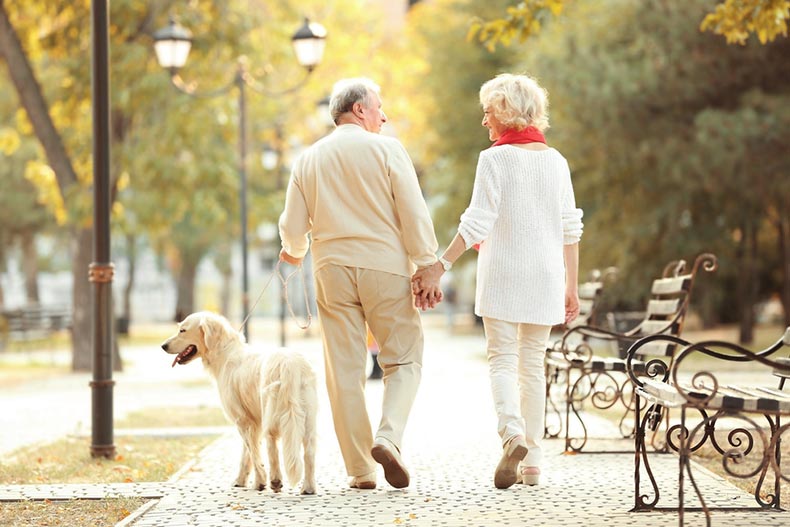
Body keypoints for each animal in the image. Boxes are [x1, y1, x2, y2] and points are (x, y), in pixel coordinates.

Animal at [162, 312, 318, 492]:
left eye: (182, 330)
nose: (163, 346)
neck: (224, 351)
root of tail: (289, 363)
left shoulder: (242, 420)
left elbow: (253, 453)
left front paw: (259, 482)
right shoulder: (253, 422)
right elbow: (247, 455)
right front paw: (241, 481)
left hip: (272, 413)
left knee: (272, 446)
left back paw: (275, 480)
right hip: (307, 419)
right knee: (309, 453)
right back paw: (308, 488)